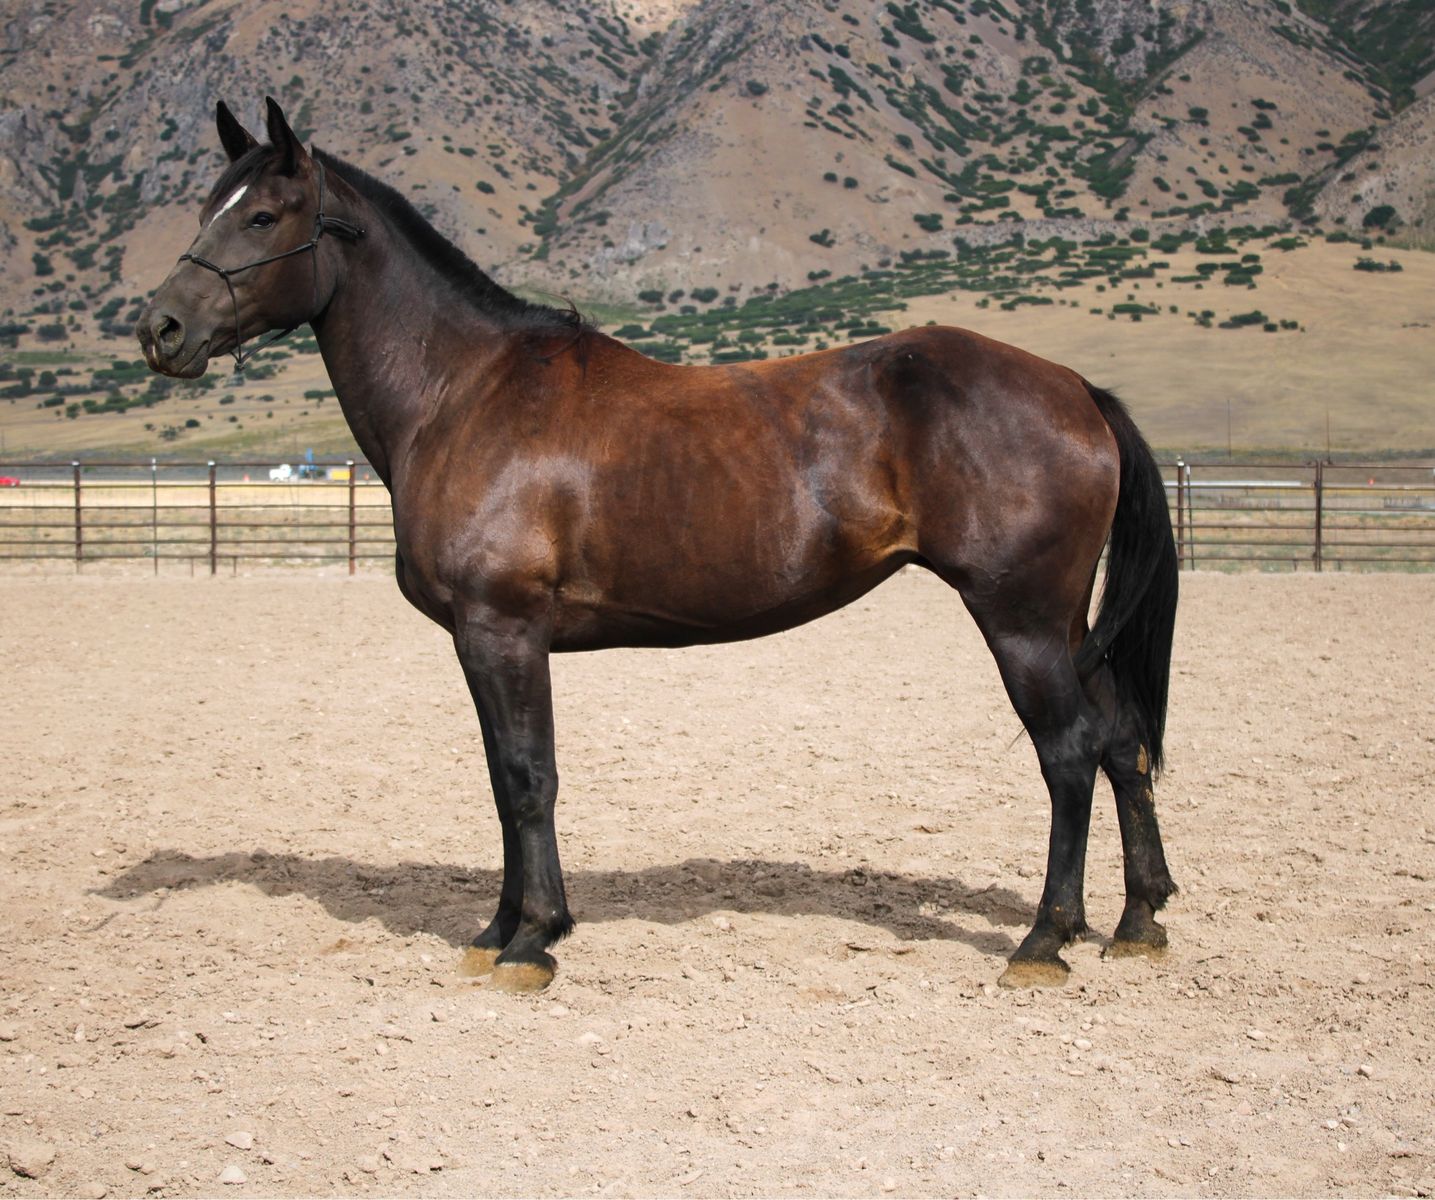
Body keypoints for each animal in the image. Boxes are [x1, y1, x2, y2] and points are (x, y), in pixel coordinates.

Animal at [139, 98, 1179, 993]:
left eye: (264, 215)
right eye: (209, 207)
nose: (161, 328)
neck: (463, 392)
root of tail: (1075, 388)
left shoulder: (501, 630)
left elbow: (529, 778)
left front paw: (532, 940)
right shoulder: (480, 643)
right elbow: (501, 779)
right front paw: (495, 929)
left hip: (1019, 618)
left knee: (1068, 754)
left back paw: (1044, 940)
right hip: (1064, 623)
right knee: (1120, 739)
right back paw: (1138, 922)